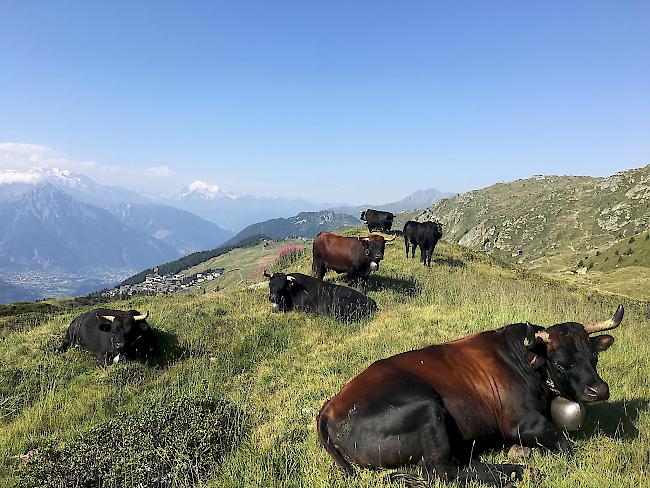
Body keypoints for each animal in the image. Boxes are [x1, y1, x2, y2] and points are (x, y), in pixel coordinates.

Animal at [316, 304, 624, 484]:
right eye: (560, 363)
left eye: (594, 356)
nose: (598, 390)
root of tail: (331, 406)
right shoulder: (522, 424)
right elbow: (565, 444)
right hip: (427, 408)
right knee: (441, 472)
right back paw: (517, 472)